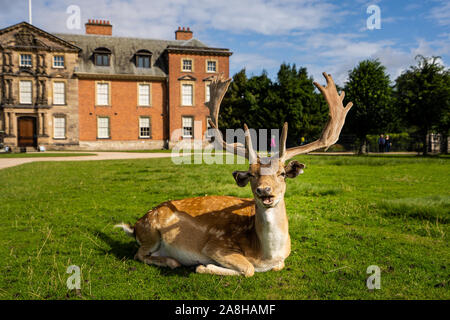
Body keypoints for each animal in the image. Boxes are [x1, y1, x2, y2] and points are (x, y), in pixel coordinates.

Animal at [115, 72, 352, 276]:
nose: (264, 190)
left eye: (282, 173)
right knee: (139, 254)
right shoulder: (215, 245)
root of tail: (135, 226)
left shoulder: (282, 259)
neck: (266, 255)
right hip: (151, 233)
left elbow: (275, 266)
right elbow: (248, 268)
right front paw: (203, 266)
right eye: (252, 174)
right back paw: (172, 261)